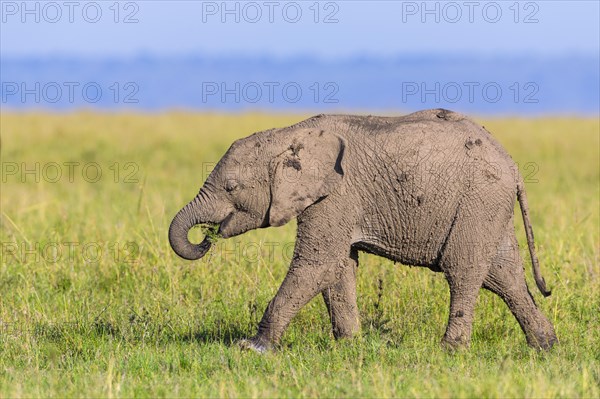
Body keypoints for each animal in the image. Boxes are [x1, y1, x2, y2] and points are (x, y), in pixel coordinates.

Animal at [168, 108, 556, 354]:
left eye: (231, 187)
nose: (206, 236)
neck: (288, 134)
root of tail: (514, 167)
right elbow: (338, 268)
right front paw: (350, 346)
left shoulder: (335, 194)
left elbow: (318, 264)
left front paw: (254, 348)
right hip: (488, 206)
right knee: (504, 275)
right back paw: (545, 346)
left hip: (479, 199)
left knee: (464, 271)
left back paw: (450, 351)